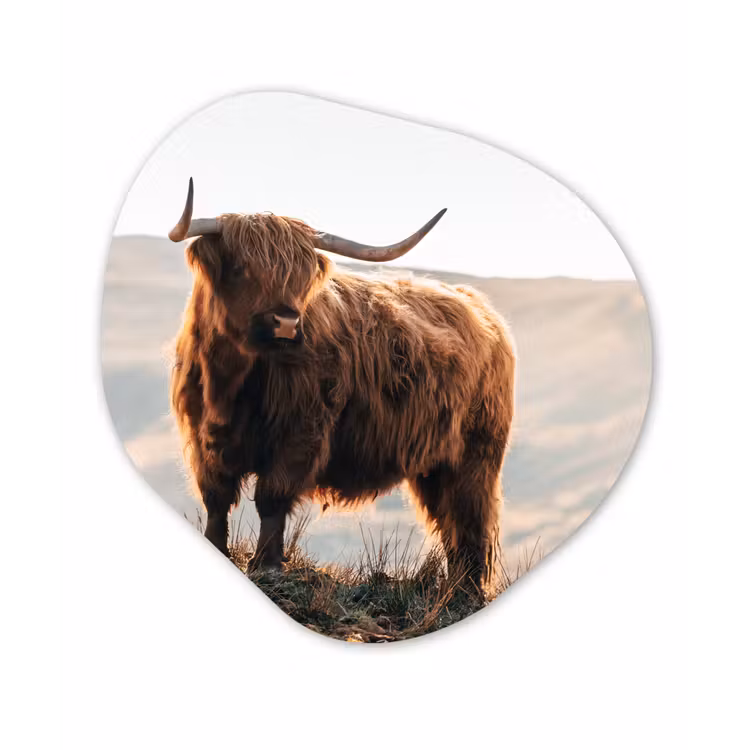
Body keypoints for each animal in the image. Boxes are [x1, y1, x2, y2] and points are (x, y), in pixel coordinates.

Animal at [169, 178, 515, 594]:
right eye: (240, 268)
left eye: (300, 276)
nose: (286, 323)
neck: (231, 382)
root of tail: (479, 306)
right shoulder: (202, 435)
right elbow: (216, 497)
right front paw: (217, 550)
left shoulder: (302, 432)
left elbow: (271, 497)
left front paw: (267, 564)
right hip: (433, 465)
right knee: (448, 520)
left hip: (475, 455)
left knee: (470, 517)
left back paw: (465, 590)